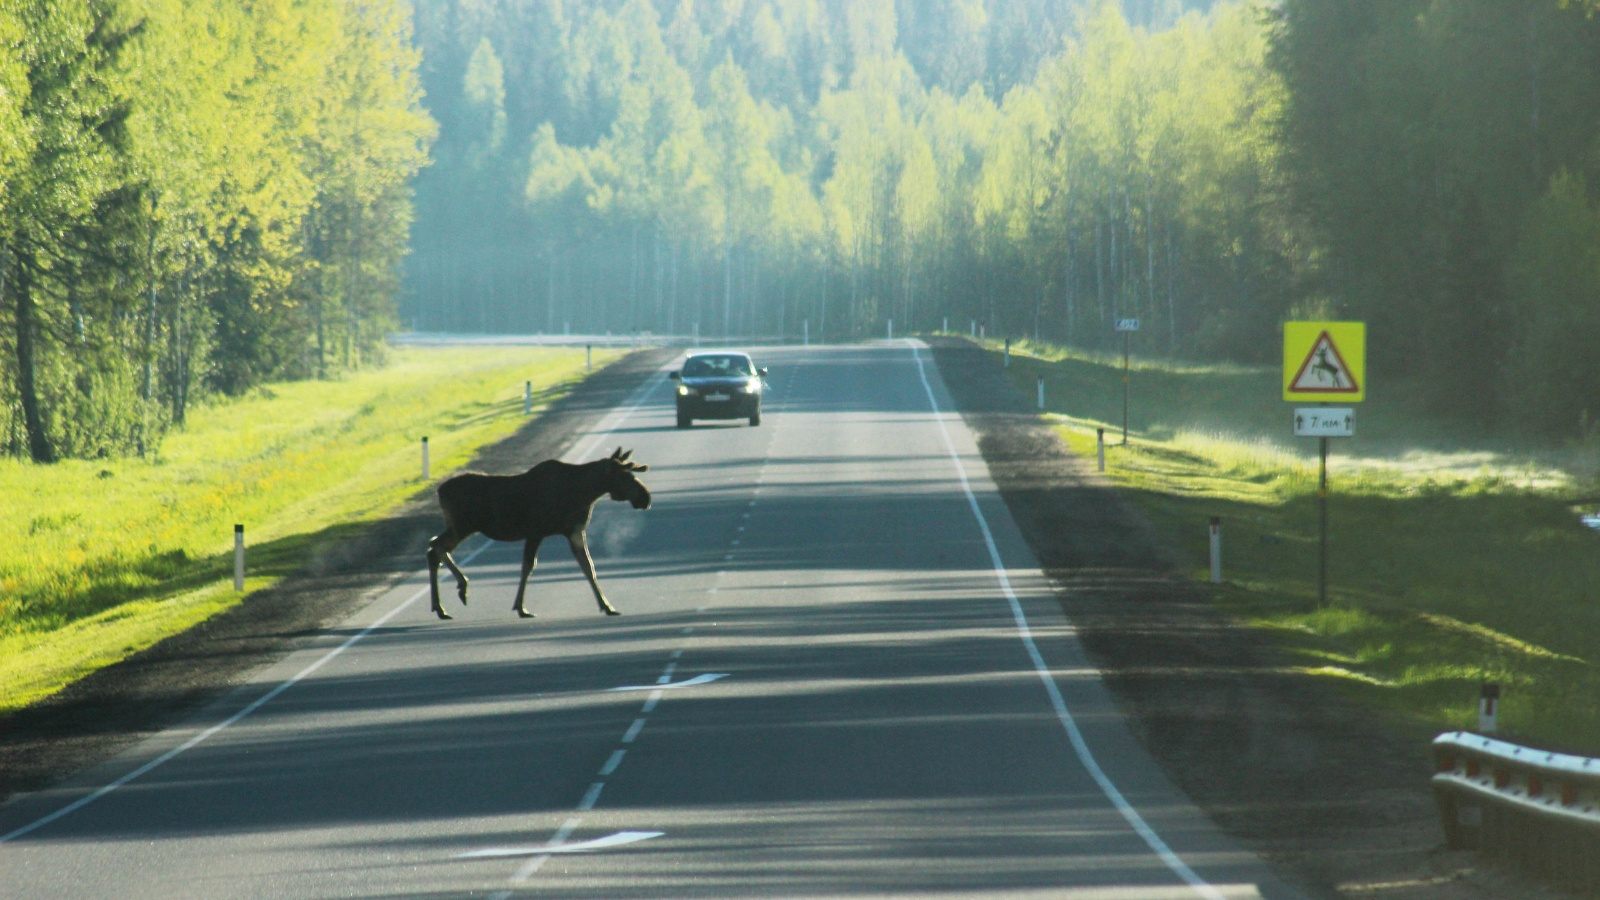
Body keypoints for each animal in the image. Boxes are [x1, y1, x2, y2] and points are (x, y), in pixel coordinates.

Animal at [428, 445, 652, 621]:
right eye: (625, 476)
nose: (646, 497)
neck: (585, 492)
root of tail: (439, 491)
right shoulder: (536, 532)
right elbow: (528, 567)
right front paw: (521, 607)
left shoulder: (574, 531)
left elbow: (588, 566)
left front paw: (607, 606)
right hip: (463, 526)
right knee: (436, 545)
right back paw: (461, 587)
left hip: (459, 527)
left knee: (433, 550)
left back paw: (440, 608)